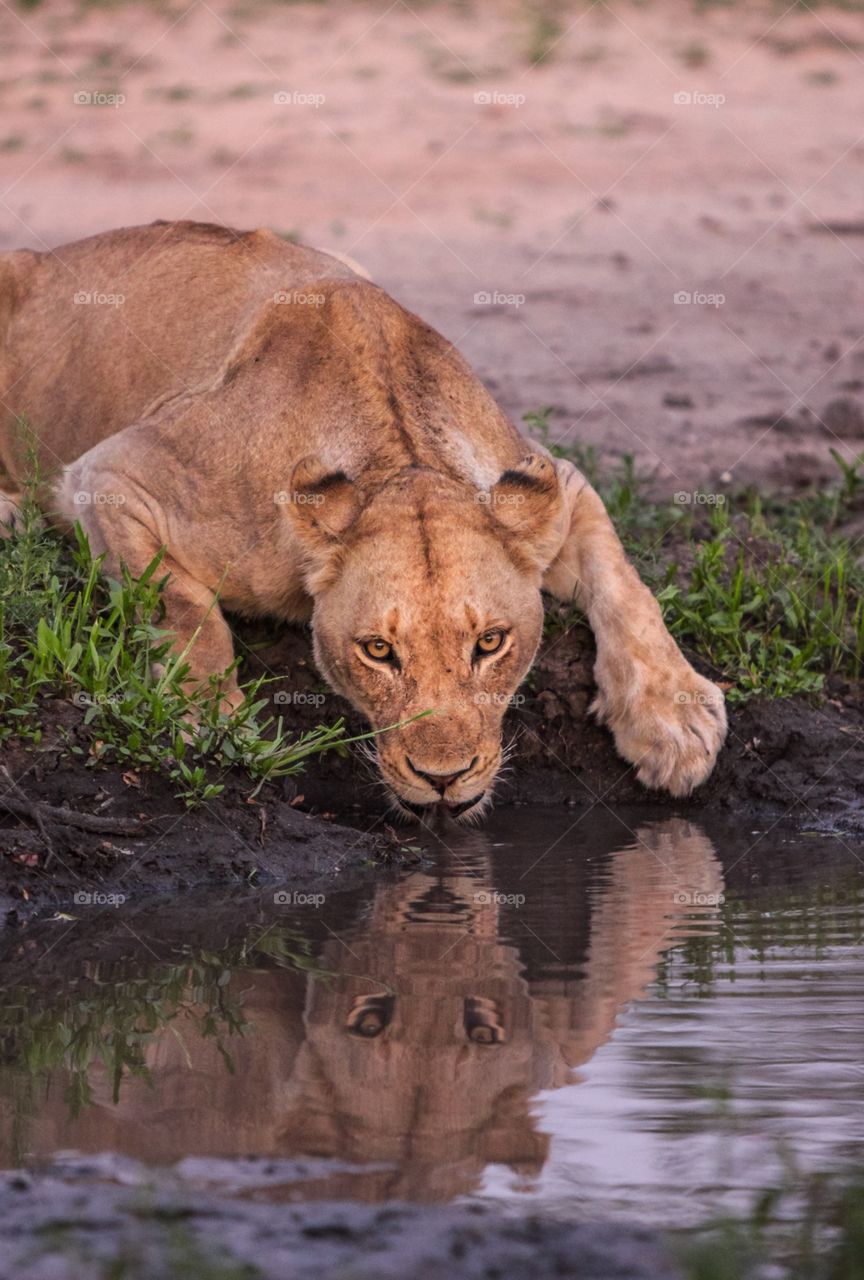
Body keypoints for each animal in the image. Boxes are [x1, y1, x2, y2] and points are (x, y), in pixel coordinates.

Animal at [0, 220, 726, 818]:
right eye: (378, 651)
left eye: (490, 643)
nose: (444, 778)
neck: (402, 461)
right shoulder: (111, 475)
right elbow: (179, 602)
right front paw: (208, 716)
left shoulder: (552, 480)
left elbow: (625, 583)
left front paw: (674, 721)